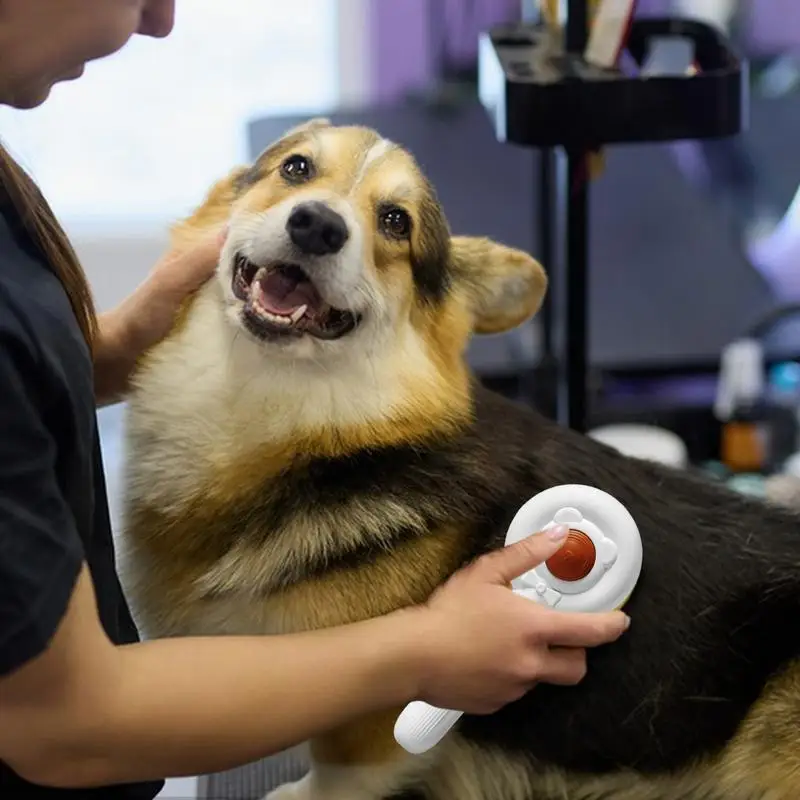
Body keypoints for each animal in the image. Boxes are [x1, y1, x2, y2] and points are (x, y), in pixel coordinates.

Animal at [122, 119, 800, 800]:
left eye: (395, 221)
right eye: (296, 169)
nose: (317, 225)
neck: (282, 411)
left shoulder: (372, 706)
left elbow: (342, 769)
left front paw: (297, 795)